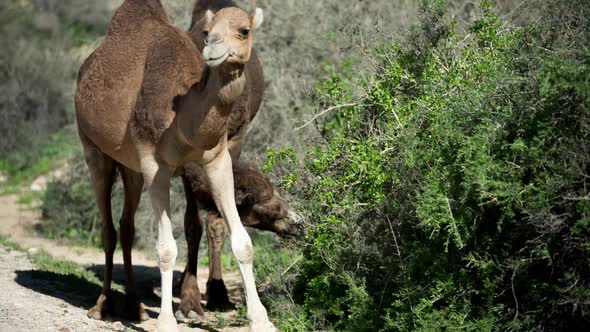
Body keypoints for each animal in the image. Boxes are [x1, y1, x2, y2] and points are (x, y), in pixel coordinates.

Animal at [75, 1, 276, 330]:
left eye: (244, 30)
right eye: (207, 32)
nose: (213, 49)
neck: (182, 116)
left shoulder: (218, 159)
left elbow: (243, 242)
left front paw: (261, 320)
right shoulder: (155, 165)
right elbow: (166, 248)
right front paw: (168, 320)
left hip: (130, 166)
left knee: (126, 227)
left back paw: (135, 307)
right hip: (92, 148)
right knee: (107, 229)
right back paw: (102, 306)